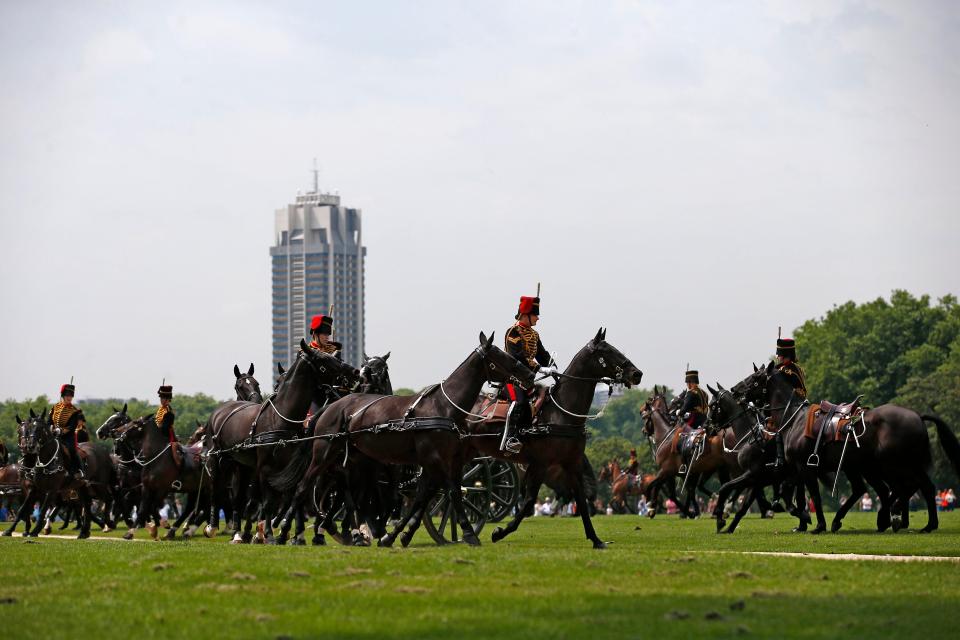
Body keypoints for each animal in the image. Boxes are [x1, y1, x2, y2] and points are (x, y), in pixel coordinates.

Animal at [204, 340, 358, 544]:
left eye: (257, 384)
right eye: (324, 361)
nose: (355, 372)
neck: (281, 418)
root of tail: (221, 410)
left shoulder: (291, 467)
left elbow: (291, 497)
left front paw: (280, 532)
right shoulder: (264, 467)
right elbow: (267, 501)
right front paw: (269, 533)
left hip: (242, 465)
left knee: (239, 498)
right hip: (218, 460)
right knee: (216, 490)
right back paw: (215, 527)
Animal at [284, 332, 532, 548]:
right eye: (501, 356)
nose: (529, 374)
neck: (443, 406)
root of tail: (331, 407)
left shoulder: (442, 461)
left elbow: (423, 497)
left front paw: (395, 535)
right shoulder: (434, 460)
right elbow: (450, 492)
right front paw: (468, 533)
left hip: (353, 459)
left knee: (345, 493)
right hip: (324, 454)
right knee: (305, 487)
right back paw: (288, 531)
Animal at [462, 328, 640, 548]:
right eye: (608, 352)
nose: (637, 374)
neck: (561, 412)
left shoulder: (571, 464)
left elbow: (580, 499)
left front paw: (596, 539)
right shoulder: (540, 464)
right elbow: (529, 502)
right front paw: (500, 532)